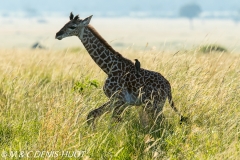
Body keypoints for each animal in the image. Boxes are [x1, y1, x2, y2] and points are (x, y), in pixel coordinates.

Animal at [55, 12, 187, 125]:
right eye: (65, 24)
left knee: (163, 124)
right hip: (154, 105)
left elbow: (113, 122)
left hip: (153, 105)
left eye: (72, 26)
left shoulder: (120, 100)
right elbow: (92, 114)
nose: (57, 34)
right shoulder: (117, 101)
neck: (109, 67)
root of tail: (168, 86)